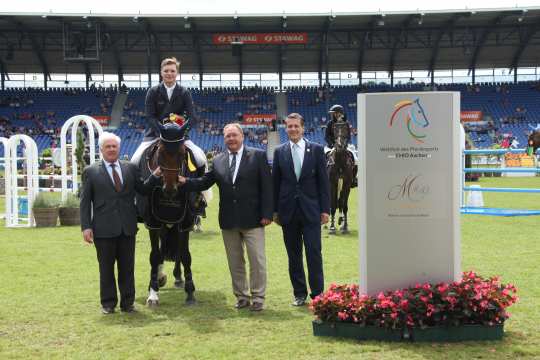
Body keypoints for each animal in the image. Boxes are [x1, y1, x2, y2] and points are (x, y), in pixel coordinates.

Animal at [137, 121, 207, 306]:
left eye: (182, 154)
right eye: (160, 152)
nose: (170, 190)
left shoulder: (185, 222)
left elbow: (185, 255)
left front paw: (190, 293)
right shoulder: (153, 223)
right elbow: (155, 256)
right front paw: (153, 293)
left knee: (178, 252)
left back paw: (177, 277)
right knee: (161, 250)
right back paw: (159, 278)